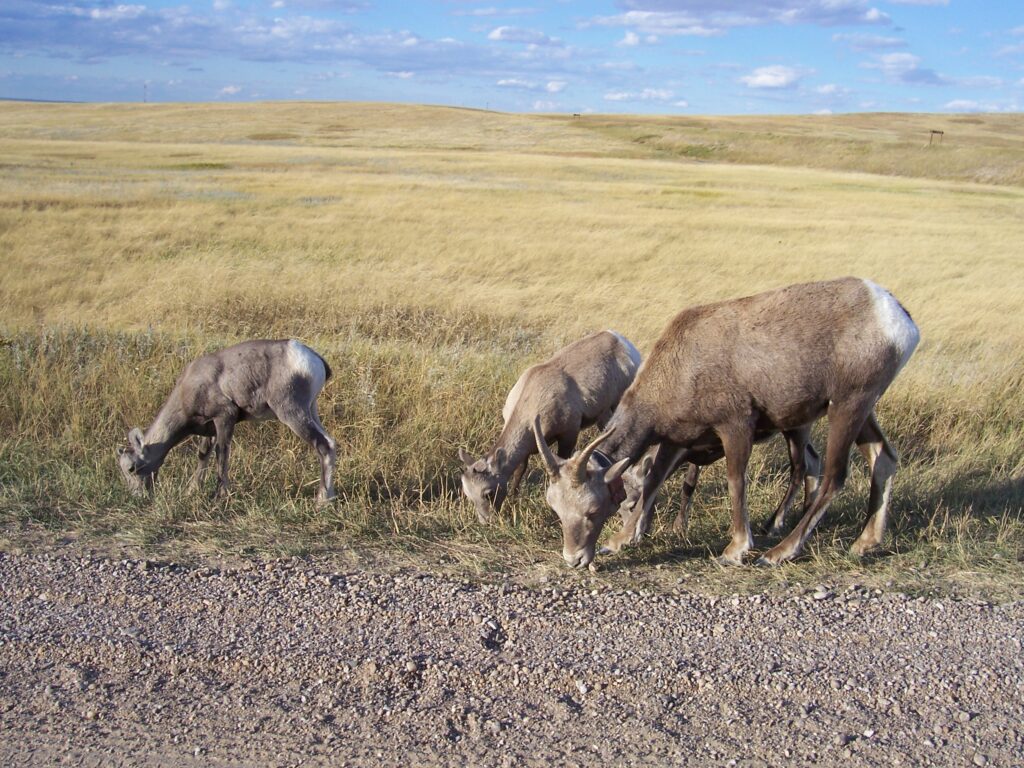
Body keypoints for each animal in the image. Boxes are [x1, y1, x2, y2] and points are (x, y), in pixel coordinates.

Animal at [116, 339, 337, 503]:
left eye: (131, 468)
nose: (138, 497)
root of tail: (312, 358)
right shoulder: (210, 429)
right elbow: (203, 455)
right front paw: (192, 491)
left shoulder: (224, 418)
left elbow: (221, 454)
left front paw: (219, 496)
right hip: (310, 411)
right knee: (331, 443)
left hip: (291, 413)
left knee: (323, 445)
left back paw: (322, 500)